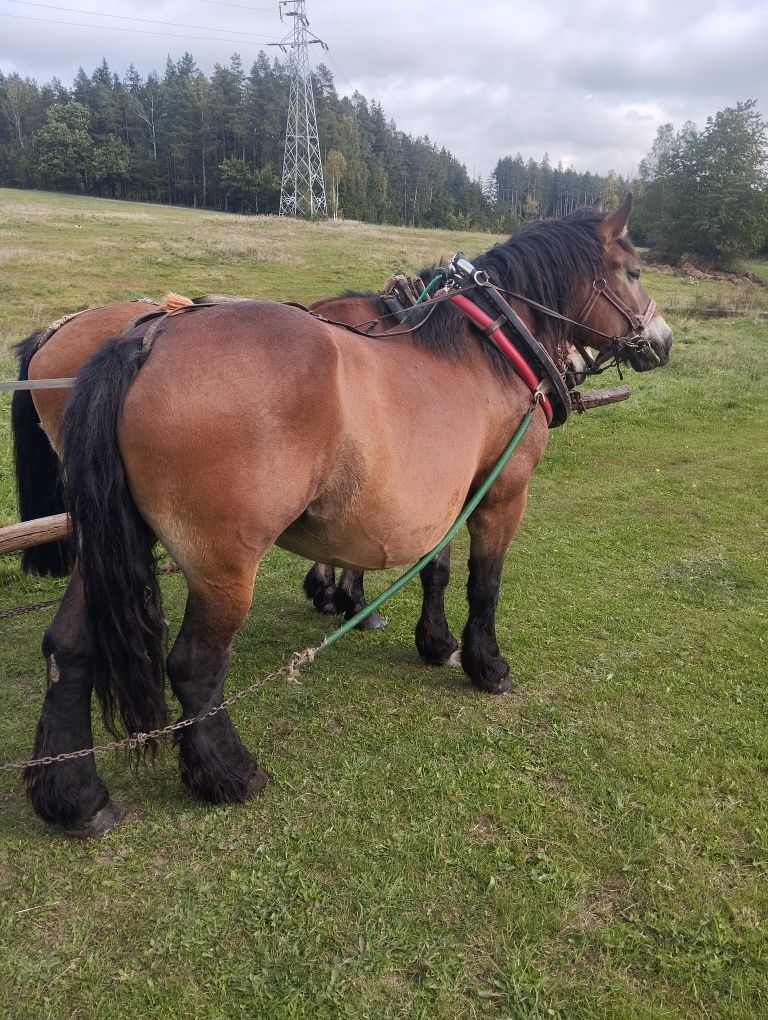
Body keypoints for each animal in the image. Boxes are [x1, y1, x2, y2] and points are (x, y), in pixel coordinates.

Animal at [23, 194, 669, 832]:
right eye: (633, 273)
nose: (662, 341)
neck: (489, 350)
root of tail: (149, 339)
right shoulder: (501, 492)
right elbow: (484, 584)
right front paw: (485, 664)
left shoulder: (448, 494)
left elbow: (434, 570)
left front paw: (432, 640)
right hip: (222, 564)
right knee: (194, 665)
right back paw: (227, 772)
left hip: (109, 545)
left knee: (68, 650)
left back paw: (75, 796)